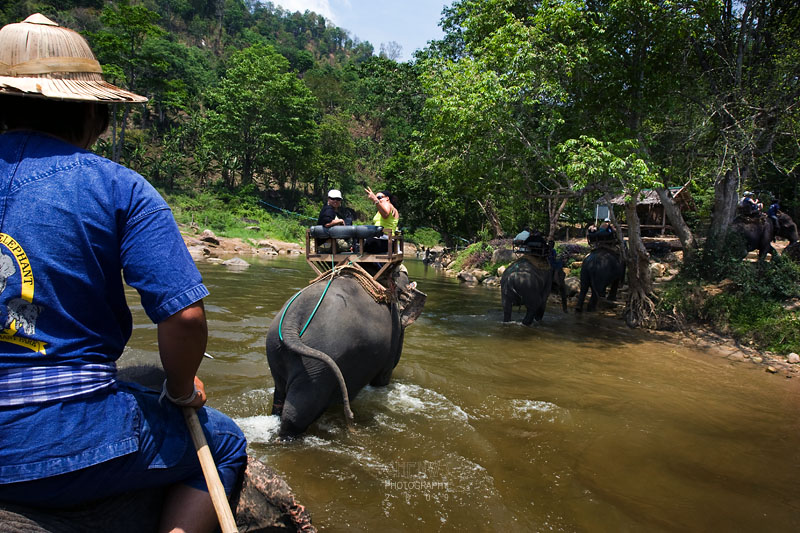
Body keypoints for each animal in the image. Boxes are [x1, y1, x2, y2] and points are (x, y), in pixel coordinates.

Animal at [266, 266, 424, 436]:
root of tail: (291, 322)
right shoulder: (390, 352)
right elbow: (382, 378)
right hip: (318, 367)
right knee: (296, 414)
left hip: (276, 351)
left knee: (279, 397)